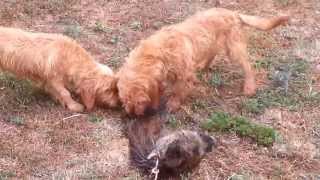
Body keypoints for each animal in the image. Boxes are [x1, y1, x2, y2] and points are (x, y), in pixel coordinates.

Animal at [117, 7, 290, 116]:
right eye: (124, 100)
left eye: (138, 102)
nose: (131, 114)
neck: (157, 54)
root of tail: (234, 13)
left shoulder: (183, 75)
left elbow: (178, 90)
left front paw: (173, 104)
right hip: (213, 42)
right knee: (212, 53)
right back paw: (203, 66)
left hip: (234, 49)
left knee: (248, 66)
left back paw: (249, 86)